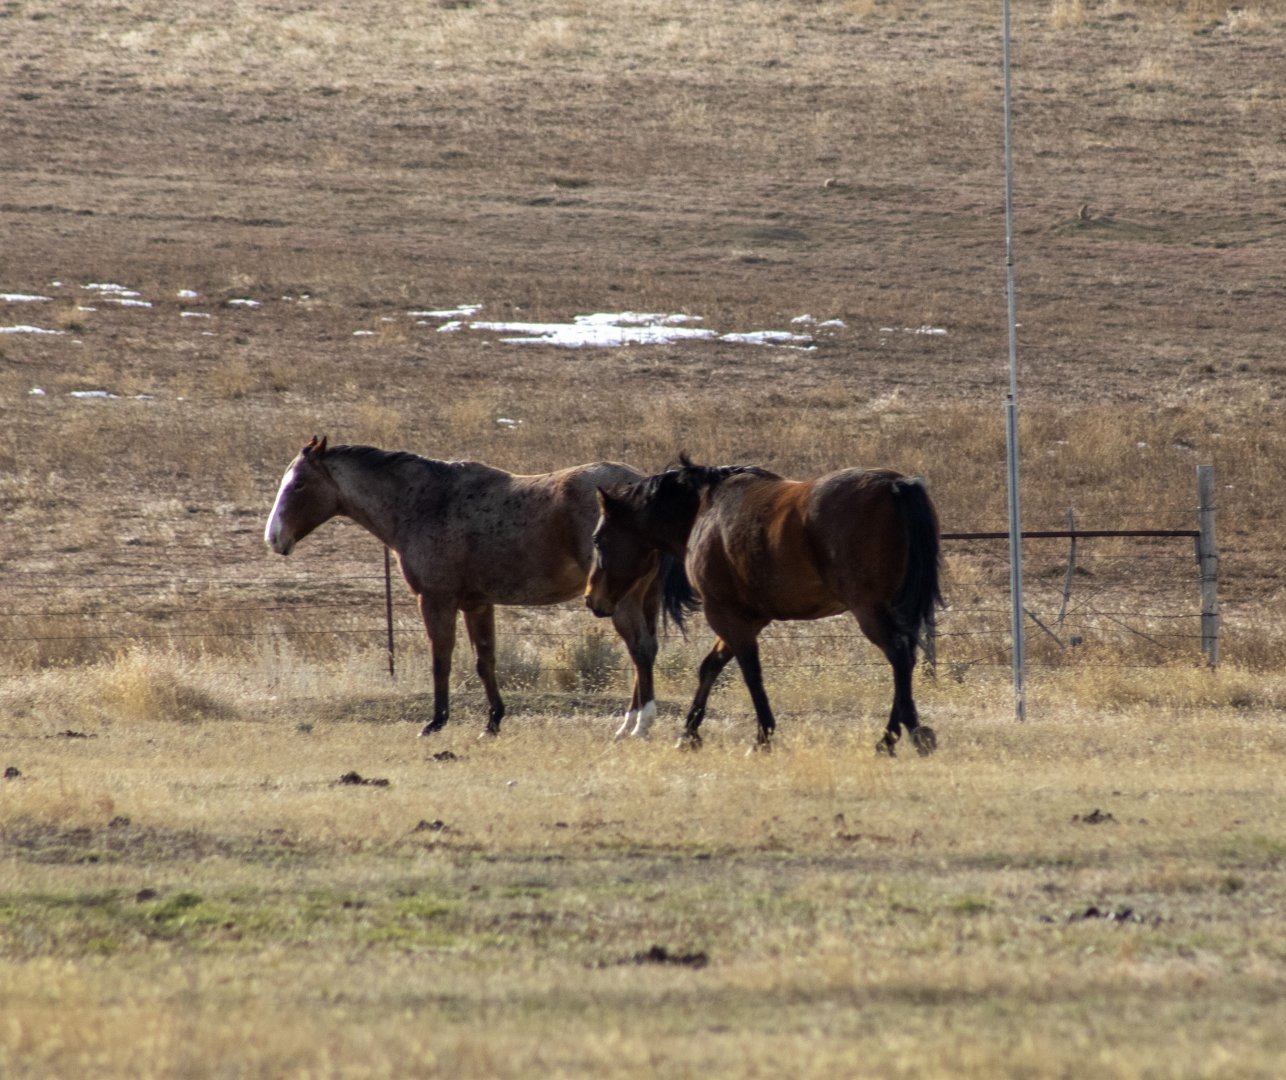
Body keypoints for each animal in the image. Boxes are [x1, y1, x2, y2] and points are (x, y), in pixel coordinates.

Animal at [265, 436, 666, 739]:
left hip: (620, 599)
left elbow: (440, 660)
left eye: (298, 484)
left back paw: (639, 725)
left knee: (640, 649)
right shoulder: (477, 605)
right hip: (643, 598)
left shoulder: (435, 600)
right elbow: (484, 661)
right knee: (644, 651)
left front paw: (436, 722)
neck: (423, 501)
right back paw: (627, 725)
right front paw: (492, 722)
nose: (273, 537)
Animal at [585, 456, 943, 755]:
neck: (706, 510)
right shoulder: (748, 617)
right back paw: (905, 733)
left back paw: (895, 738)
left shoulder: (725, 614)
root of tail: (896, 485)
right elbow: (711, 667)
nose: (592, 599)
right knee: (906, 659)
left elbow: (750, 674)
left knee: (899, 656)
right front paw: (689, 734)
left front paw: (762, 737)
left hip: (869, 611)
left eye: (598, 539)